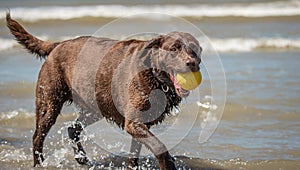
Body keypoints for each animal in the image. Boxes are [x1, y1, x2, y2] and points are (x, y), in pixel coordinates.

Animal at [6, 12, 202, 169]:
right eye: (174, 48)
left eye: (195, 50)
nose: (192, 63)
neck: (154, 75)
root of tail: (58, 45)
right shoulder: (134, 122)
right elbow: (160, 147)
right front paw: (168, 164)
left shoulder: (139, 122)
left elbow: (135, 152)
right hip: (49, 103)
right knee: (38, 136)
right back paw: (39, 163)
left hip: (96, 107)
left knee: (72, 129)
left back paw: (83, 159)